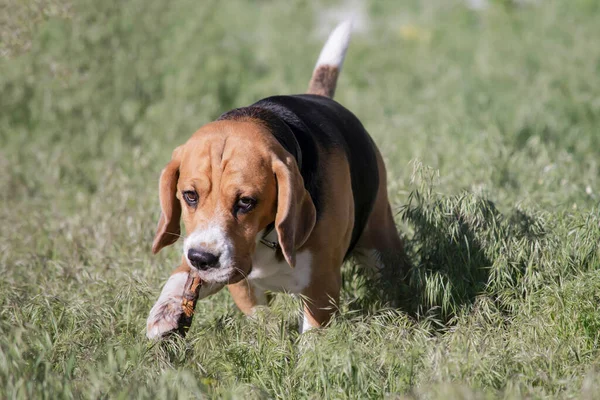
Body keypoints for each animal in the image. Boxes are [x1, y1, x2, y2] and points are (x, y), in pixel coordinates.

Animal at [146, 21, 408, 340]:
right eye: (189, 196)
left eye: (247, 202)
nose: (202, 258)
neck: (265, 236)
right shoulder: (236, 277)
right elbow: (247, 310)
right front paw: (165, 312)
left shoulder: (321, 286)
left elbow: (312, 336)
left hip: (380, 243)